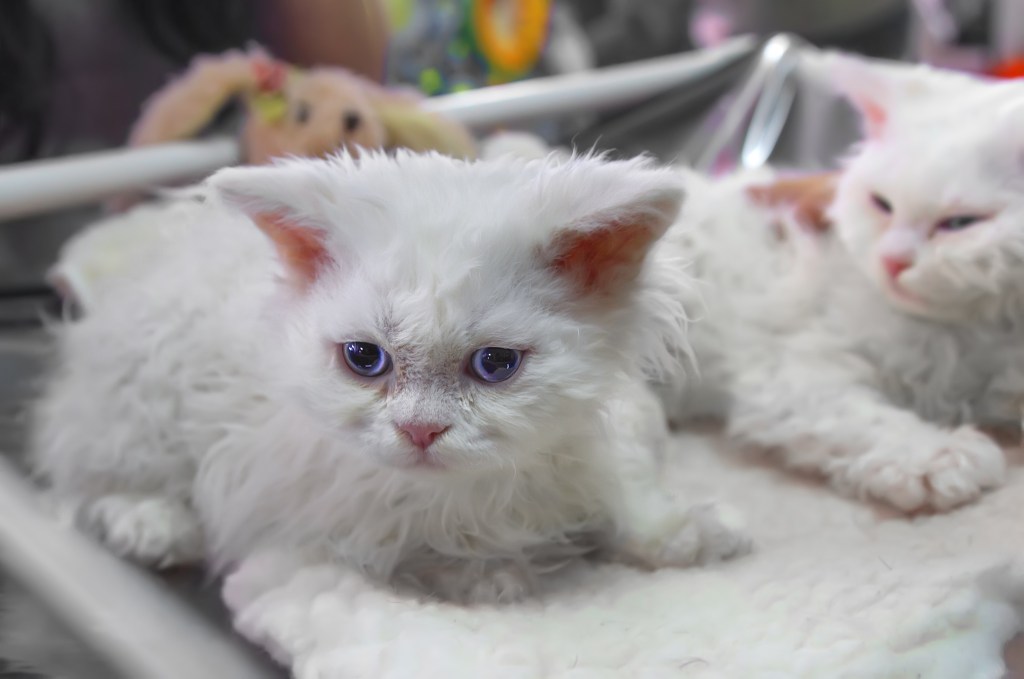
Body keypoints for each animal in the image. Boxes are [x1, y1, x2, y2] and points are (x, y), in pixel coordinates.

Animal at [32, 151, 749, 602]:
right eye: (364, 358)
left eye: (495, 365)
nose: (420, 430)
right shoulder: (301, 504)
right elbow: (422, 550)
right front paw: (493, 574)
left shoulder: (608, 433)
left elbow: (631, 493)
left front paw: (686, 532)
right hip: (140, 404)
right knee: (88, 475)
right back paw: (152, 524)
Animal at [663, 51, 1024, 510]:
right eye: (881, 204)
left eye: (960, 223)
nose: (891, 260)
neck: (972, 329)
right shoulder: (793, 373)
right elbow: (868, 420)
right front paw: (936, 455)